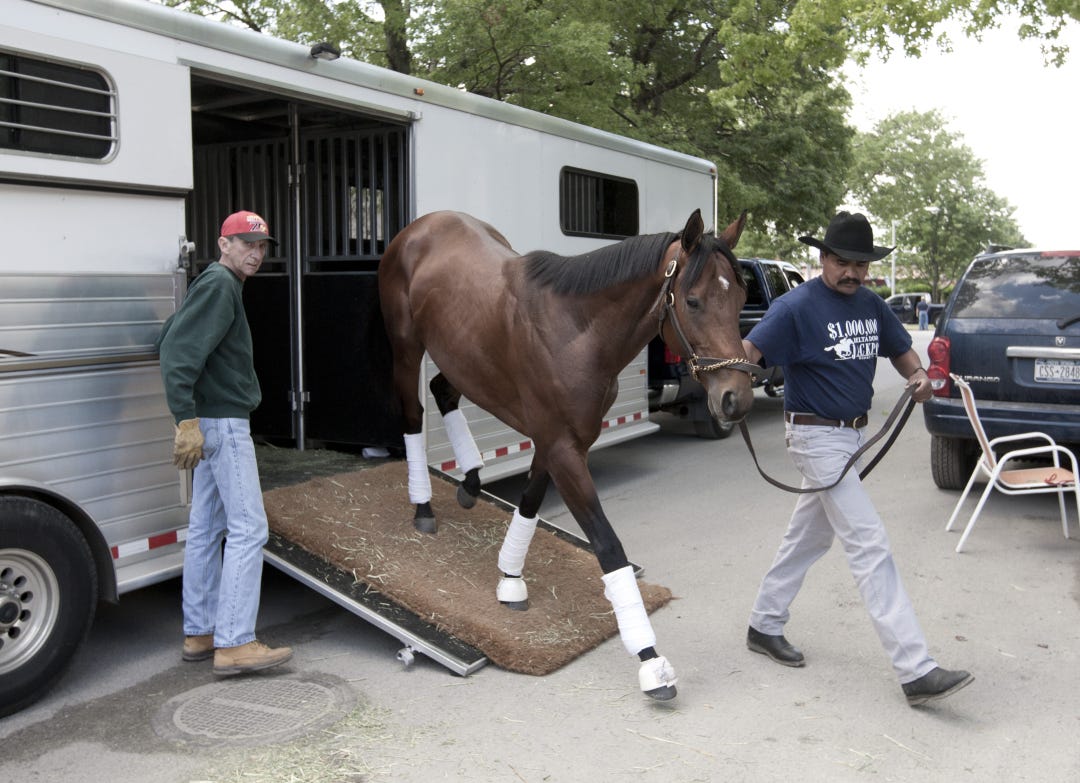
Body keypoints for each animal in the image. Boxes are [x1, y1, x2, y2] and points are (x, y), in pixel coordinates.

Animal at [378, 208, 755, 700]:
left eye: (741, 296)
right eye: (692, 301)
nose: (735, 399)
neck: (576, 330)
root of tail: (421, 226)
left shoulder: (559, 441)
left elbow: (530, 502)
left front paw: (510, 579)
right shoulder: (562, 448)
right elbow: (608, 545)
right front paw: (650, 661)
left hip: (462, 358)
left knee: (444, 390)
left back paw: (471, 482)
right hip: (406, 348)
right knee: (413, 414)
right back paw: (423, 504)